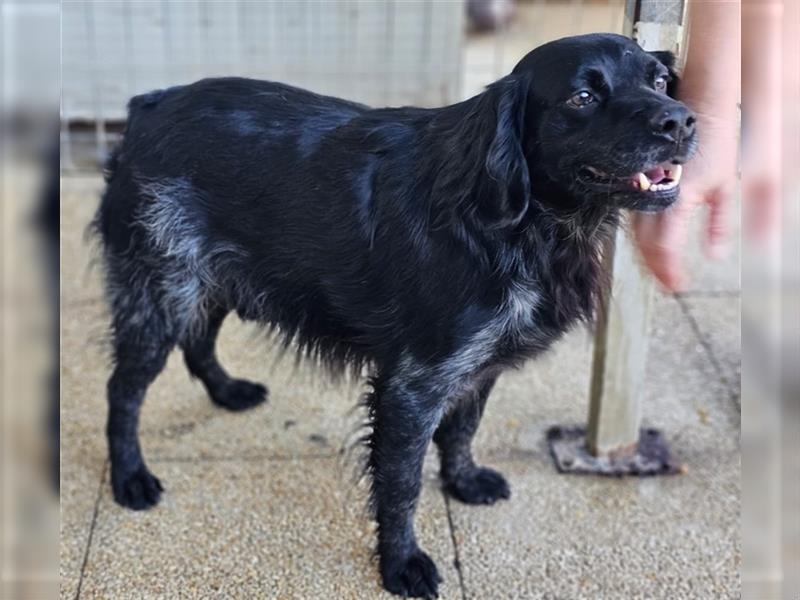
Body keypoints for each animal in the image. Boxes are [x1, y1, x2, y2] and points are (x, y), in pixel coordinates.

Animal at [94, 34, 692, 600]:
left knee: (198, 342)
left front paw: (463, 482)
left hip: (207, 282)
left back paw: (226, 392)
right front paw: (401, 563)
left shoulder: (479, 368)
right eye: (582, 97)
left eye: (660, 81)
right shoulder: (413, 386)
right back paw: (129, 477)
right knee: (123, 390)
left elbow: (462, 431)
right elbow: (401, 486)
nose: (681, 121)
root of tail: (150, 104)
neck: (513, 224)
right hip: (162, 295)